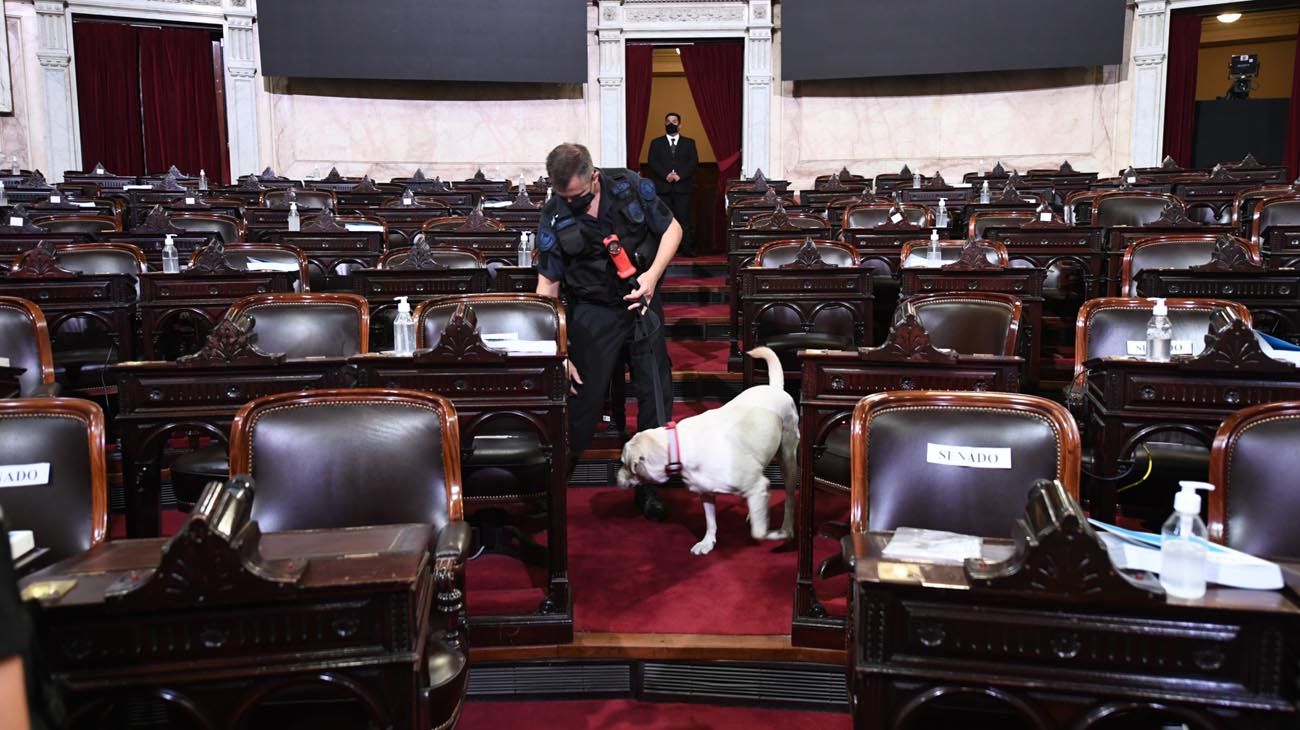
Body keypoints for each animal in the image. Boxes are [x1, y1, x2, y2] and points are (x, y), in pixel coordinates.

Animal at [613, 345, 795, 550]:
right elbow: (710, 520)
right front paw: (707, 542)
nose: (616, 478)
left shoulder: (755, 485)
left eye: (624, 463)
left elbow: (758, 532)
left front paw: (772, 534)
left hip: (788, 457)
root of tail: (774, 388)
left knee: (789, 497)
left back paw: (786, 529)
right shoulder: (706, 491)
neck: (676, 444)